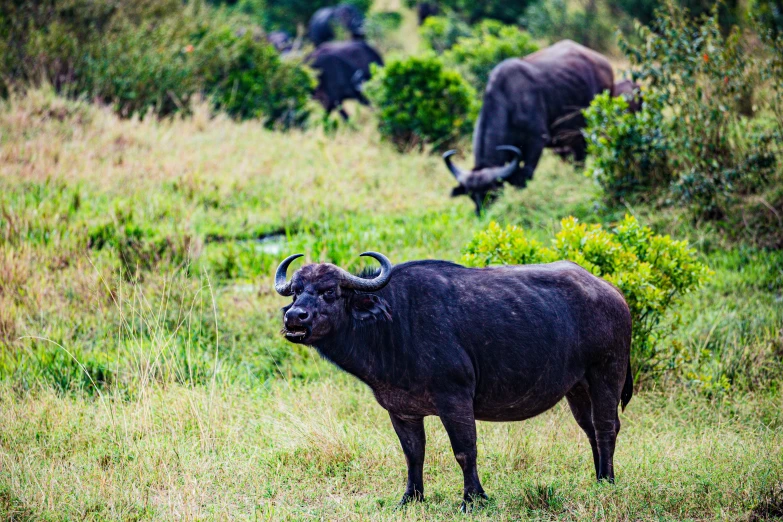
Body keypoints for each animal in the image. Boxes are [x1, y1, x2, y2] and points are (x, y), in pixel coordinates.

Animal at [276, 252, 632, 508]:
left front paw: (472, 499)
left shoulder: (455, 400)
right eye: (296, 292)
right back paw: (598, 479)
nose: (294, 317)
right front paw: (410, 498)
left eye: (329, 291)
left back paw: (609, 482)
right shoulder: (401, 410)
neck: (394, 322)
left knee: (606, 427)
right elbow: (413, 453)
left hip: (606, 373)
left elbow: (464, 450)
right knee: (589, 430)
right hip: (577, 388)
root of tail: (612, 292)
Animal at [444, 38, 616, 213]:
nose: (482, 214)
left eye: (492, 193)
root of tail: (604, 63)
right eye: (471, 195)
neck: (509, 104)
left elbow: (524, 177)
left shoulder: (536, 143)